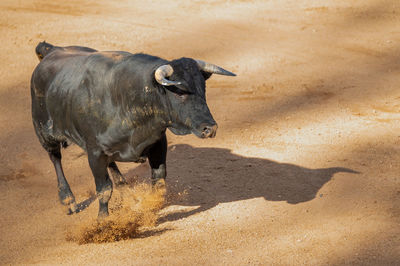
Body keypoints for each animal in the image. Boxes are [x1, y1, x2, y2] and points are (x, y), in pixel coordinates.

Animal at [32, 40, 238, 217]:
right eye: (180, 93)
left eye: (203, 89)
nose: (210, 128)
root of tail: (52, 50)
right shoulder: (94, 152)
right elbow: (104, 190)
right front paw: (103, 221)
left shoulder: (158, 143)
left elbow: (159, 180)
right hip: (44, 132)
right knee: (55, 158)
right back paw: (68, 200)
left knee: (111, 165)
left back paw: (127, 193)